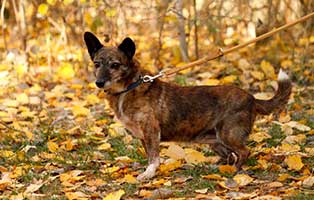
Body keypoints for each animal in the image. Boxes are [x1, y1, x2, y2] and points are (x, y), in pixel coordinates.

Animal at [83, 32, 292, 180]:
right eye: (97, 64)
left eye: (115, 65)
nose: (99, 83)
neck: (128, 88)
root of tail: (252, 98)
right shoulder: (143, 136)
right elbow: (149, 155)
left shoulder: (151, 131)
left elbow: (154, 157)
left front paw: (148, 174)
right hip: (214, 140)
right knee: (229, 155)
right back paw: (217, 167)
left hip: (228, 134)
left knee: (243, 152)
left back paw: (234, 171)